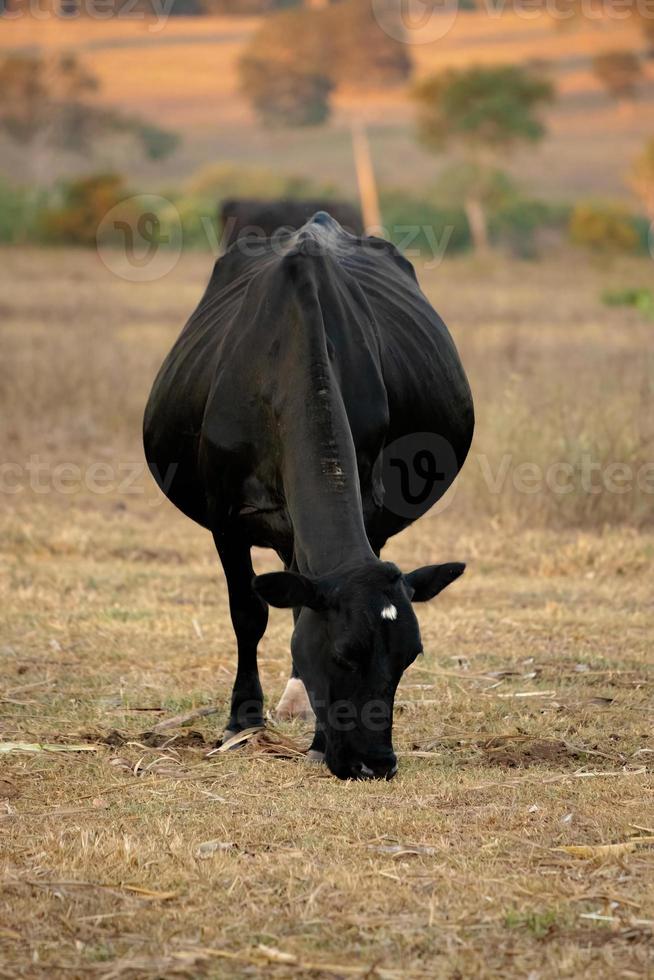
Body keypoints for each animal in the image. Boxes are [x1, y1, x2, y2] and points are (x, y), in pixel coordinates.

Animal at [144, 214, 474, 780]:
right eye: (344, 654)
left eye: (409, 657)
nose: (375, 763)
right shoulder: (224, 517)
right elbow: (248, 612)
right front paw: (242, 721)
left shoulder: (367, 508)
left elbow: (301, 609)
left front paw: (318, 738)